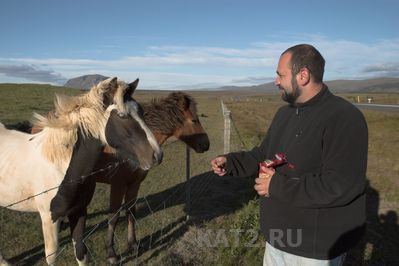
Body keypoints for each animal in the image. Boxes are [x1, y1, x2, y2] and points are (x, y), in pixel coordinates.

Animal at [0, 76, 162, 264]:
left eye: (141, 111)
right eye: (122, 115)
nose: (157, 154)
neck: (61, 166)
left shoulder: (79, 211)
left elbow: (81, 252)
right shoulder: (49, 219)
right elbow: (52, 257)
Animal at [95, 92, 211, 264]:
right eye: (194, 120)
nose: (206, 144)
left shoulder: (134, 184)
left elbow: (131, 212)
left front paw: (133, 245)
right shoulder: (118, 185)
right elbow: (113, 217)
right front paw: (112, 254)